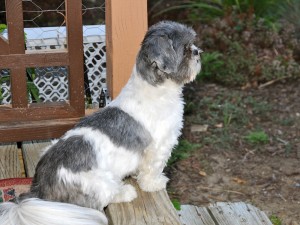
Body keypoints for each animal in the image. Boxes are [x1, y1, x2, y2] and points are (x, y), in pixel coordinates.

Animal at [0, 21, 202, 225]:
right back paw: (125, 192)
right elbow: (152, 169)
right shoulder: (159, 146)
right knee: (104, 198)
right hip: (100, 182)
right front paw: (153, 183)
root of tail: (40, 189)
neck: (155, 90)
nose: (197, 52)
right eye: (185, 49)